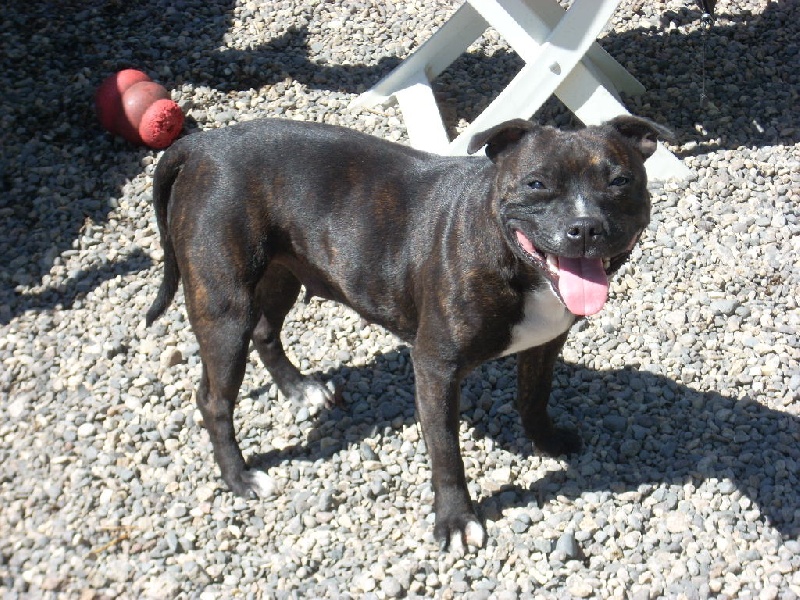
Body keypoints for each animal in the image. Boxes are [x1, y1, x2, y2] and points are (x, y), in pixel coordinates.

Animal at [146, 115, 668, 551]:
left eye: (620, 181)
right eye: (537, 183)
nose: (585, 226)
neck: (513, 259)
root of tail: (203, 144)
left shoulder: (546, 342)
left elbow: (534, 398)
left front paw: (548, 442)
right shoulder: (436, 369)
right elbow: (446, 452)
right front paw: (456, 520)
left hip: (282, 273)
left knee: (266, 331)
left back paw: (299, 389)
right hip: (224, 308)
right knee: (214, 399)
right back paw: (240, 479)